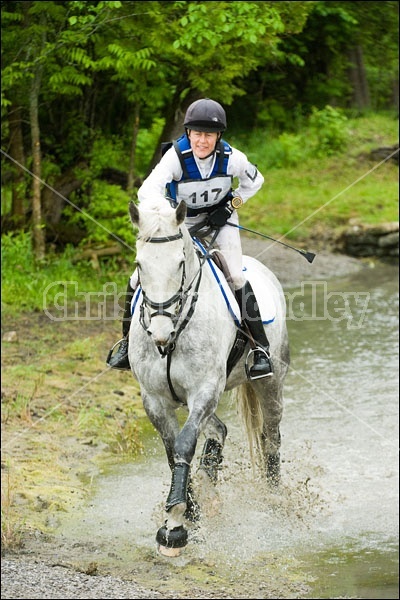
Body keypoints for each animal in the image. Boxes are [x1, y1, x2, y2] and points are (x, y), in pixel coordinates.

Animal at [126, 199, 290, 556]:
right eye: (139, 265)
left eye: (179, 264)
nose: (160, 334)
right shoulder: (155, 401)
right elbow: (172, 451)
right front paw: (189, 511)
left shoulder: (204, 391)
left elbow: (185, 445)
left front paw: (175, 525)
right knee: (219, 430)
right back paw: (208, 492)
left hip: (269, 383)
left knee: (270, 436)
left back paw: (273, 499)